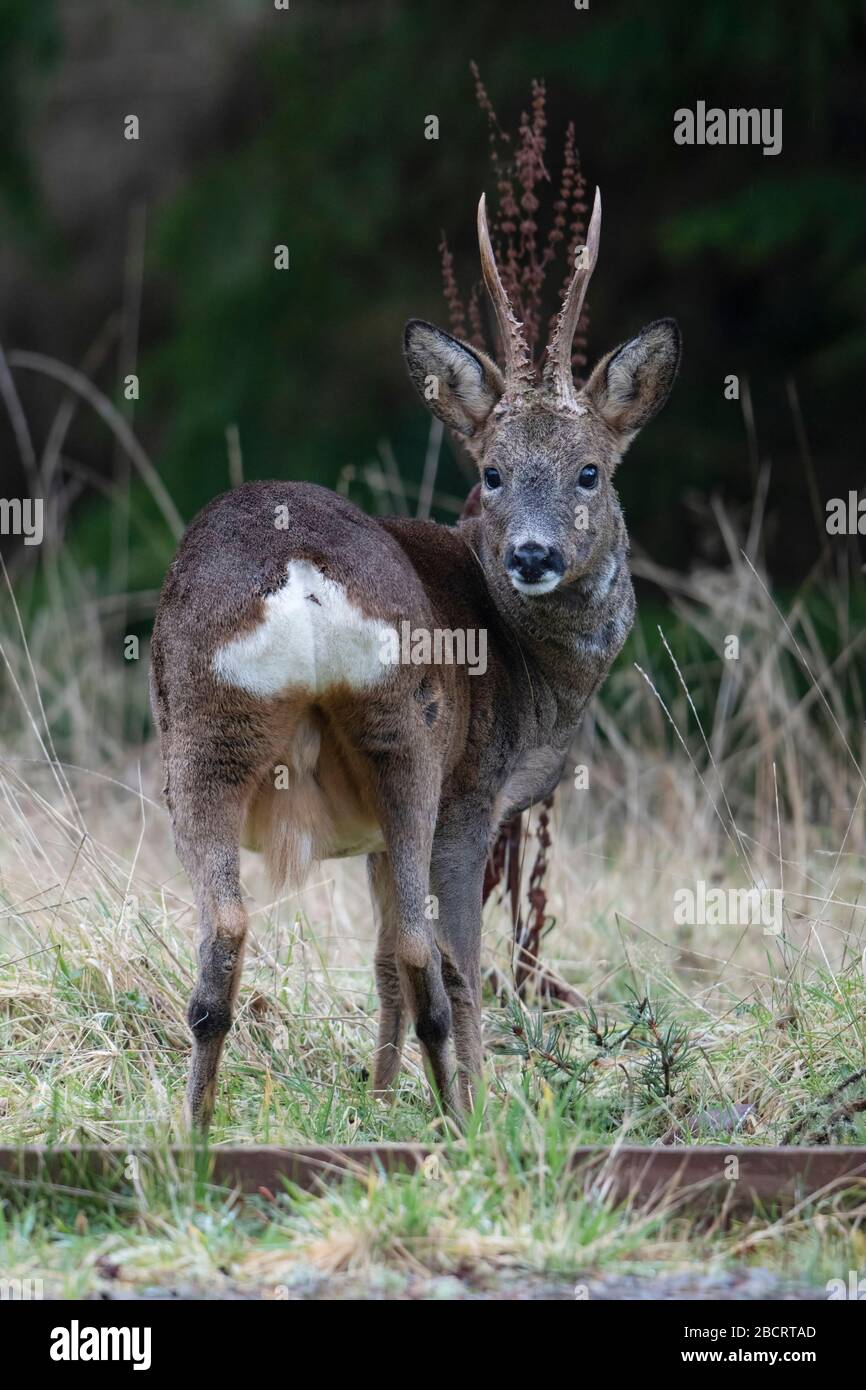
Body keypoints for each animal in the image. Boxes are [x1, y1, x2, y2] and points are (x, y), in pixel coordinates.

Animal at [150, 186, 680, 1131]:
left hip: (205, 730)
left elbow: (374, 965)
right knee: (424, 949)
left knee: (232, 931)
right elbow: (459, 959)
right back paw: (463, 1121)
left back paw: (197, 1132)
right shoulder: (475, 796)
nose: (534, 555)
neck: (532, 670)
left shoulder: (364, 837)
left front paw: (379, 1092)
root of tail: (297, 572)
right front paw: (469, 1100)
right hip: (412, 738)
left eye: (589, 471)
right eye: (494, 472)